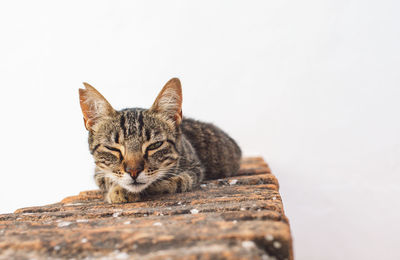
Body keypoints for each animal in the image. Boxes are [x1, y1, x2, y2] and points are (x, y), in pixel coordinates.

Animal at [77, 77, 241, 203]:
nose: (134, 172)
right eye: (112, 148)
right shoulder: (98, 173)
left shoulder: (194, 168)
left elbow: (174, 181)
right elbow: (107, 178)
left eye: (155, 145)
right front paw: (119, 190)